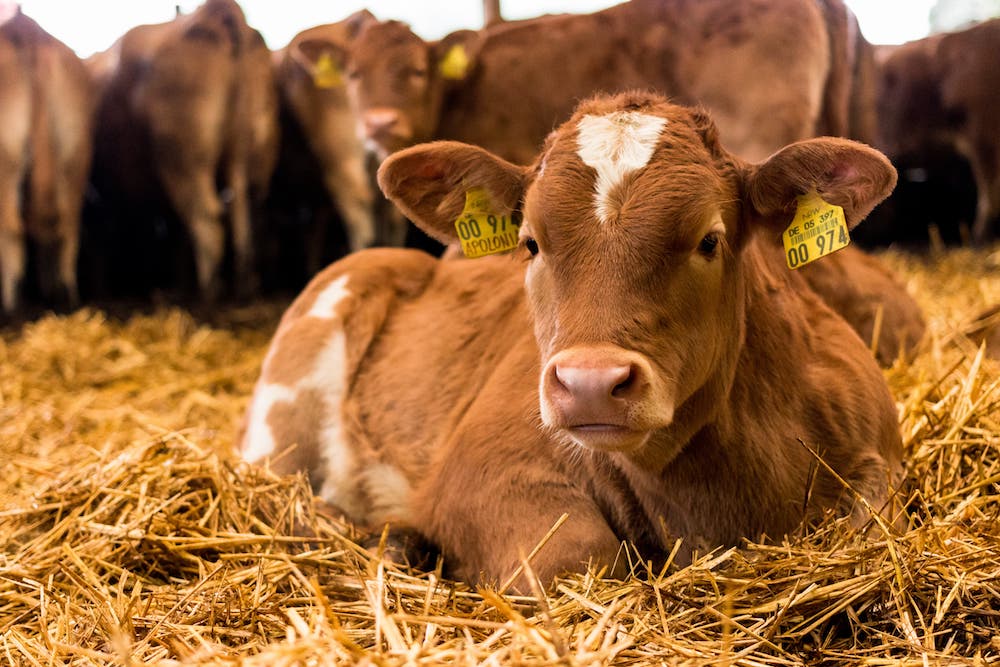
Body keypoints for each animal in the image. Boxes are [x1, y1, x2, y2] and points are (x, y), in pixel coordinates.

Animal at [0, 9, 93, 314]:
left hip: (6, 161)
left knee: (11, 232)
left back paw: (10, 305)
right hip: (76, 154)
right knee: (68, 227)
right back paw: (65, 297)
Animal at [242, 94, 908, 588]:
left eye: (709, 240)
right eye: (531, 242)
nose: (590, 383)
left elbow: (870, 518)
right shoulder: (479, 466)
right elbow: (578, 557)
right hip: (281, 424)